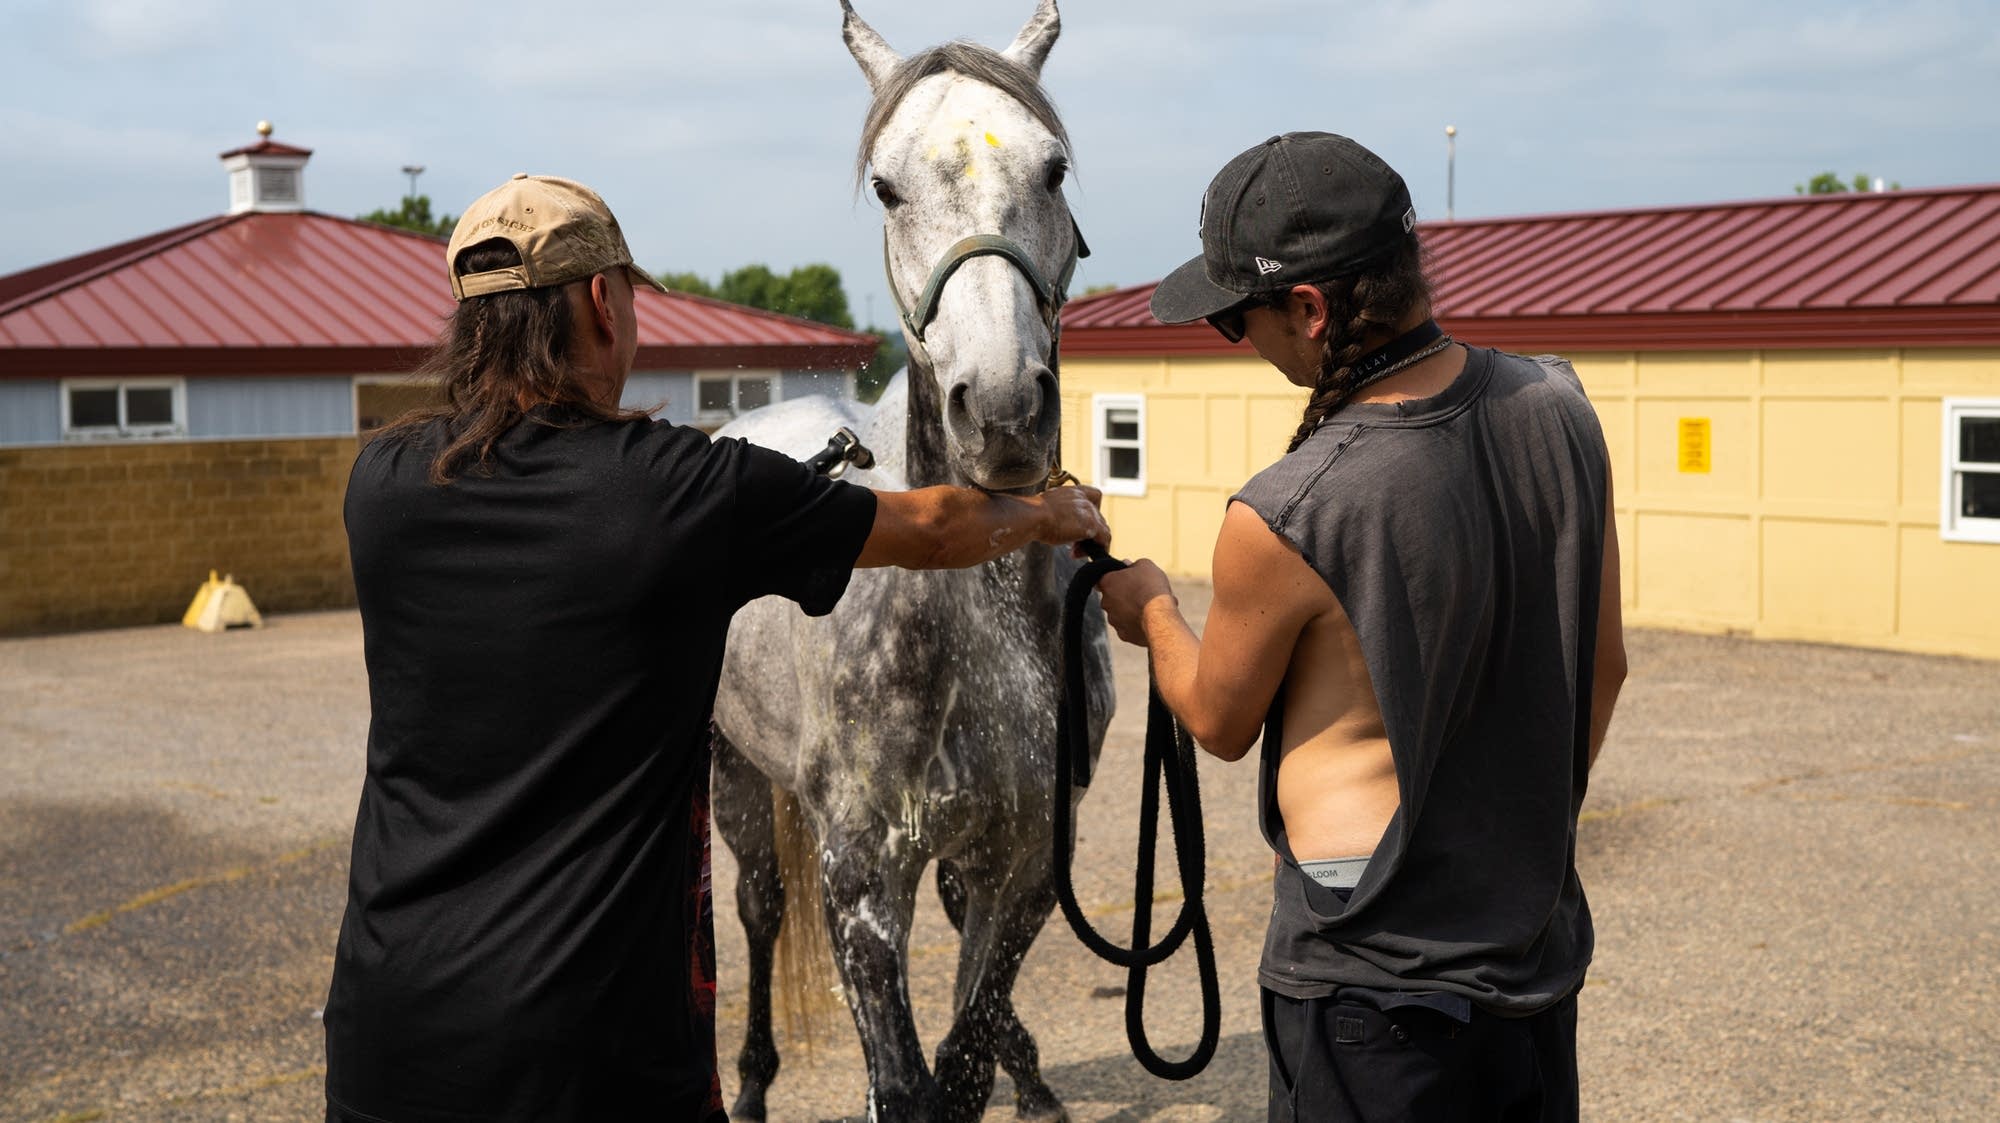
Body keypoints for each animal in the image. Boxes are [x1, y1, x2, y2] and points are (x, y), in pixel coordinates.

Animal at [707, 2, 1110, 1120]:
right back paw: (750, 1083)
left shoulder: (1027, 857)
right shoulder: (860, 881)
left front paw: (1014, 1070)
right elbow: (905, 1080)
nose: (1004, 408)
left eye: (1055, 168)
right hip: (735, 783)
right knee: (759, 910)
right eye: (886, 186)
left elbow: (964, 1049)